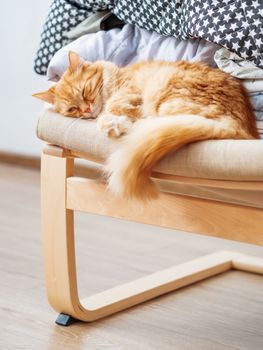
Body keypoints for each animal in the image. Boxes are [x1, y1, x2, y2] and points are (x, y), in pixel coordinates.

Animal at [33, 51, 260, 200]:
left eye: (84, 91)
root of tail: (240, 128)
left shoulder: (128, 91)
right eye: (72, 109)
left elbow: (113, 108)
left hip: (169, 98)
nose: (87, 110)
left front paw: (110, 123)